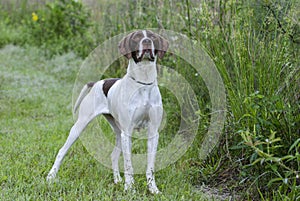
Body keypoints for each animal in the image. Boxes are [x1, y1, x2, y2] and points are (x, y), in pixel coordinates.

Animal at [47, 29, 169, 193]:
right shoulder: (127, 133)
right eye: (137, 37)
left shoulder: (153, 133)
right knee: (62, 151)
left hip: (118, 133)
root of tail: (97, 83)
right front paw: (130, 189)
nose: (146, 41)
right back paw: (51, 177)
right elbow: (129, 165)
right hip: (80, 126)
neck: (143, 82)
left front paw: (153, 189)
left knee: (113, 155)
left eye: (153, 37)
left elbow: (150, 167)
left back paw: (117, 180)